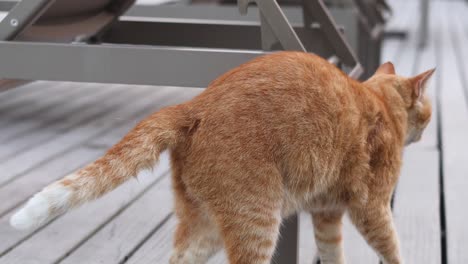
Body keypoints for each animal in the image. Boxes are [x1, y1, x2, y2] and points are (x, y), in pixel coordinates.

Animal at [10, 52, 436, 264]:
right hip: (256, 221)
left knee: (179, 259)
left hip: (204, 223)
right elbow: (391, 248)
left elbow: (332, 253)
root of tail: (194, 104)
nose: (427, 127)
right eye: (429, 111)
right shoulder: (372, 207)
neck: (379, 101)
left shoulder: (327, 213)